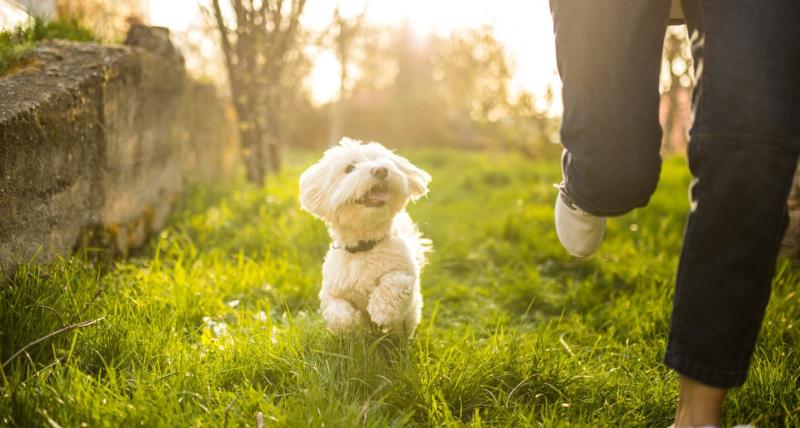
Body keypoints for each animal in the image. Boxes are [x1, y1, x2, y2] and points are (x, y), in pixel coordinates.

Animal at [298, 139, 432, 336]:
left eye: (382, 160)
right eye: (349, 168)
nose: (381, 170)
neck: (364, 246)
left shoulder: (407, 276)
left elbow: (394, 280)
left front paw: (381, 309)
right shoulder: (331, 289)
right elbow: (336, 309)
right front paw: (347, 325)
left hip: (410, 315)